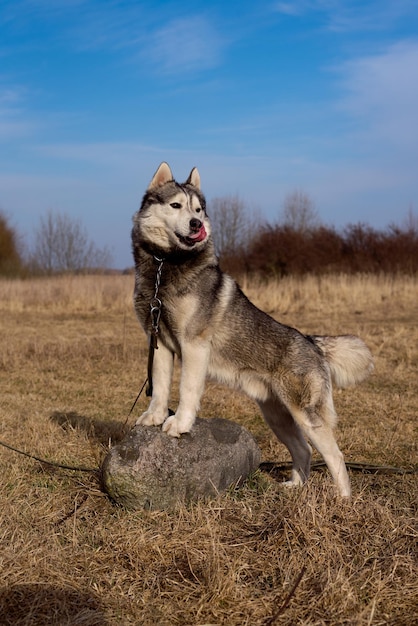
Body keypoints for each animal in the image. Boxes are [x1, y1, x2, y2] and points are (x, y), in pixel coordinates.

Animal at [131, 163, 372, 494]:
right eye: (176, 205)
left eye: (198, 209)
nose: (196, 224)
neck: (163, 268)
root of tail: (312, 342)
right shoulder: (160, 342)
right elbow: (160, 387)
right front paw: (154, 417)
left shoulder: (193, 345)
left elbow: (186, 390)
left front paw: (179, 424)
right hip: (277, 416)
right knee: (303, 449)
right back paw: (294, 487)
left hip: (305, 414)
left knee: (335, 455)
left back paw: (343, 500)